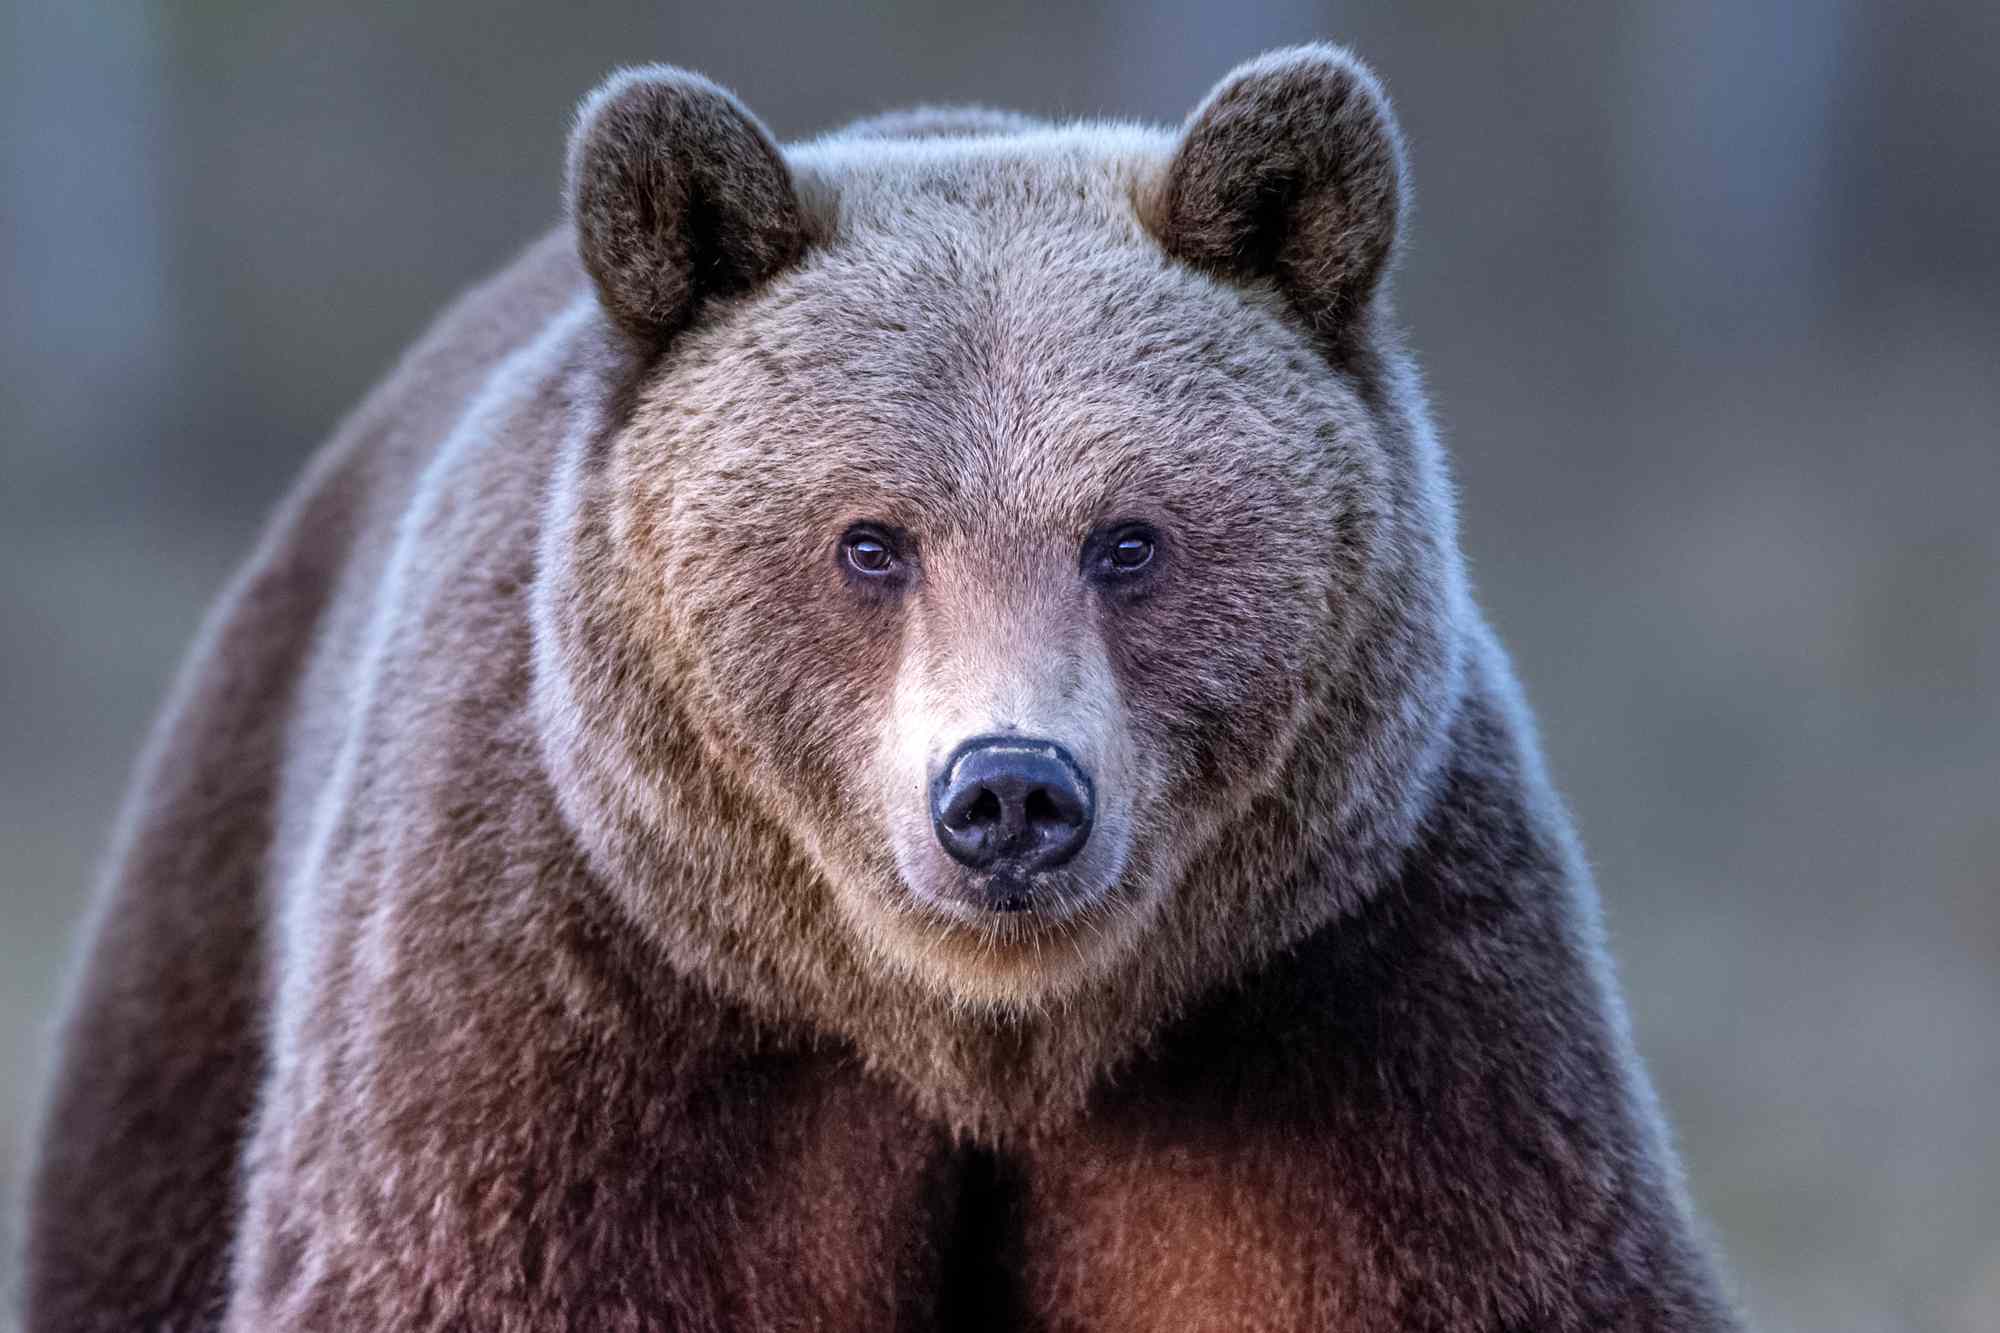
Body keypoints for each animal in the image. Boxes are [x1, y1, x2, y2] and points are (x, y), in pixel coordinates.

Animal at [15, 44, 1736, 1328]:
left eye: (1128, 537)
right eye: (871, 540)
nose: (1011, 793)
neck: (970, 1044)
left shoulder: (1347, 1011)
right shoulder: (574, 1013)